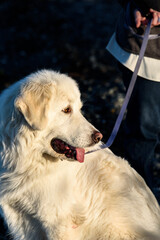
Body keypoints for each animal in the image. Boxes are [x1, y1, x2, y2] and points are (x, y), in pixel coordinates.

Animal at [0, 68, 159, 239]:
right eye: (67, 110)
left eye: (79, 109)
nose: (98, 137)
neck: (28, 160)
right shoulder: (21, 219)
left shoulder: (57, 223)